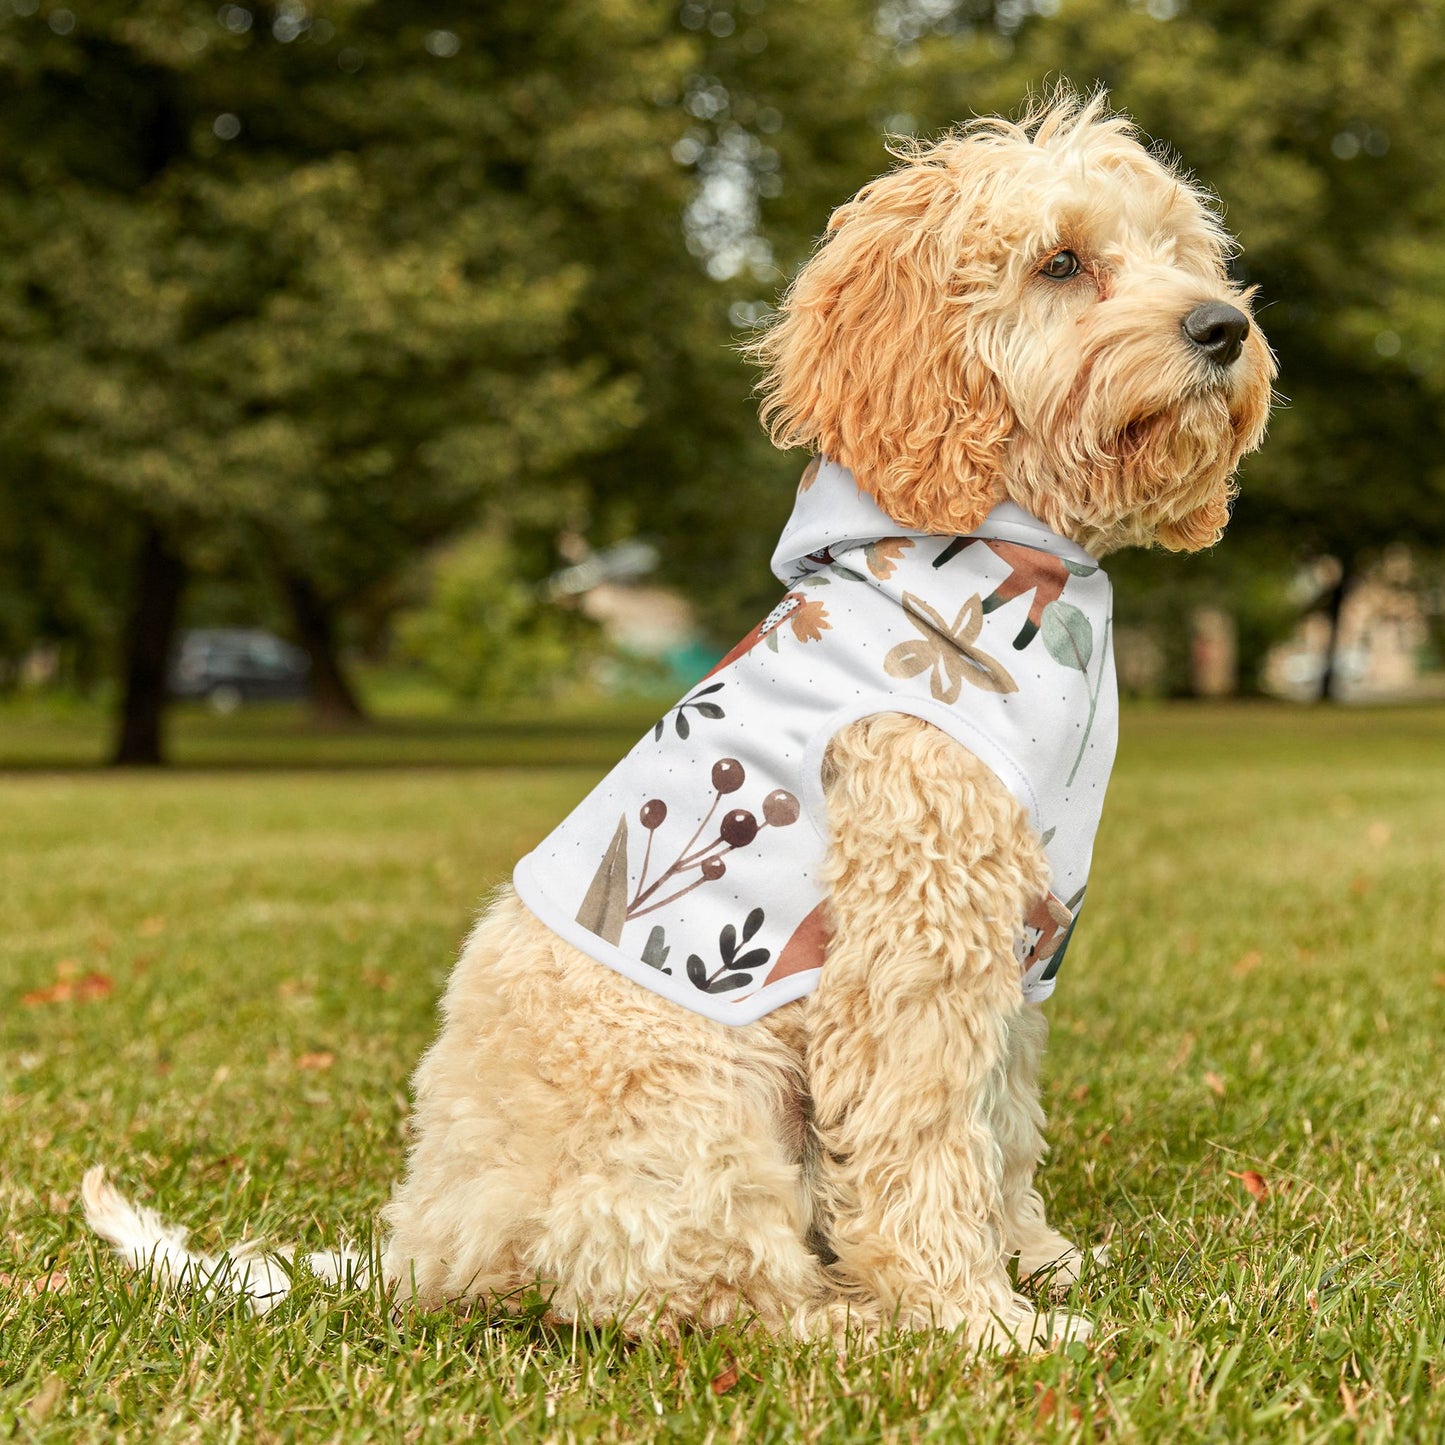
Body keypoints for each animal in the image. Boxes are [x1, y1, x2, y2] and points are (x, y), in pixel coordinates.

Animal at [84, 93, 1271, 1352]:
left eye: (1181, 253)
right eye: (1060, 262)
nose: (1222, 327)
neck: (998, 552)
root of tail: (424, 1247)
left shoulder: (1019, 937)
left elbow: (998, 1120)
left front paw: (1035, 1259)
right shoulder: (914, 940)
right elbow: (923, 1137)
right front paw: (977, 1319)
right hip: (702, 1101)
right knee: (703, 1292)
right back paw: (853, 1322)